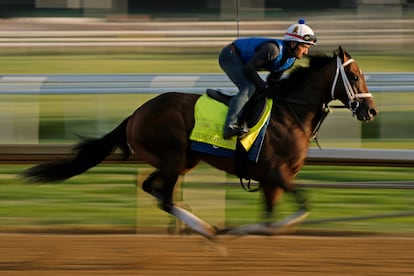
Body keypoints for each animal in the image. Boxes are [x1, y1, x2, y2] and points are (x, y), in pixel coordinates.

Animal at [22, 46, 378, 238]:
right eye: (355, 76)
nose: (371, 110)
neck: (290, 113)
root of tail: (136, 113)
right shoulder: (276, 173)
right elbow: (302, 203)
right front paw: (236, 231)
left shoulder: (271, 180)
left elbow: (269, 219)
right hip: (174, 156)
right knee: (164, 196)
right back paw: (206, 230)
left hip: (183, 160)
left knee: (154, 189)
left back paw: (196, 224)